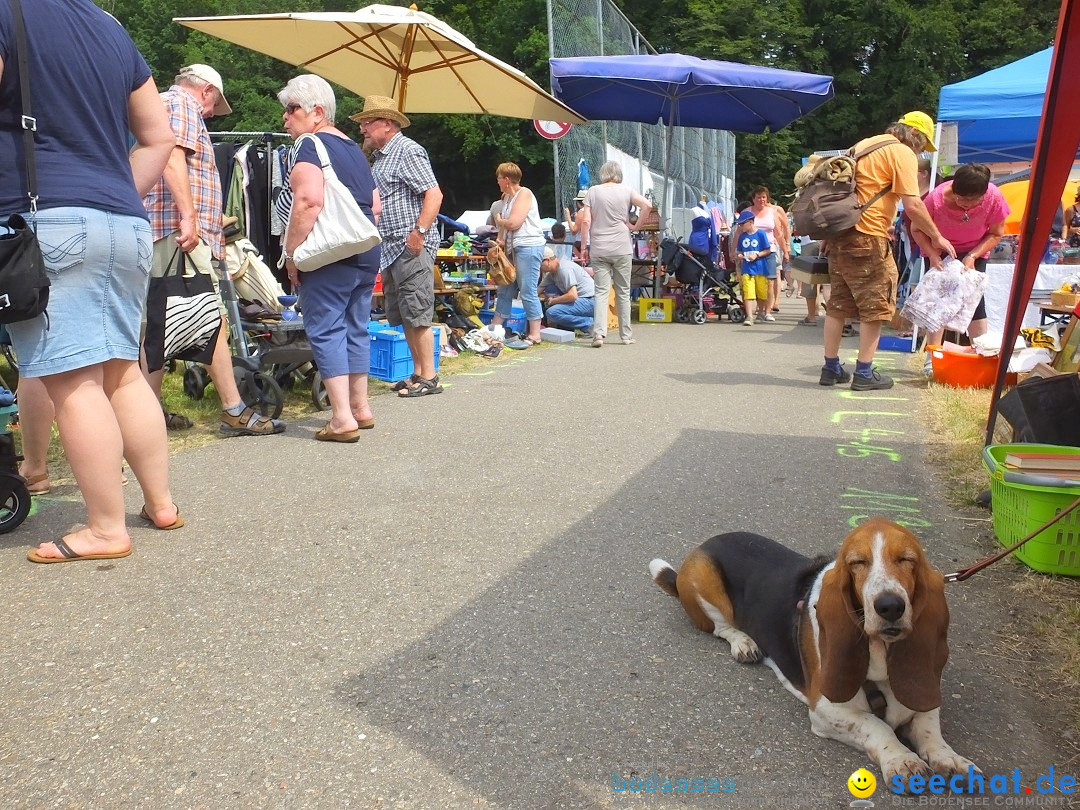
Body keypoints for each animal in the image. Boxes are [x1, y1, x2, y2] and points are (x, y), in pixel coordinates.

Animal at [648, 516, 980, 781]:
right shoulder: (827, 709)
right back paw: (744, 643)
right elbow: (878, 726)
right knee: (721, 627)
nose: (889, 606)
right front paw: (901, 759)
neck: (881, 653)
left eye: (907, 560)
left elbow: (928, 726)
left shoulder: (922, 694)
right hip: (703, 584)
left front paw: (949, 758)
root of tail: (701, 547)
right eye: (858, 563)